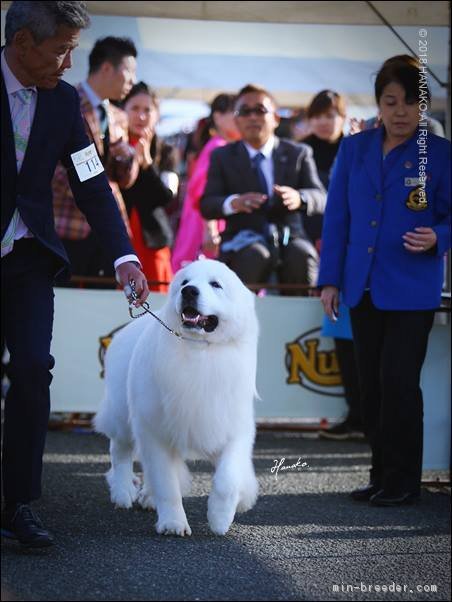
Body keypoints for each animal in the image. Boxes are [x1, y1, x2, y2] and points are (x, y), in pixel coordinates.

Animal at [93, 258, 260, 536]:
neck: (199, 351)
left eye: (216, 284)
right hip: (122, 415)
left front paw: (221, 518)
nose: (189, 291)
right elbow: (167, 484)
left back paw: (147, 497)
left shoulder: (232, 427)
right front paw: (173, 524)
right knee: (120, 452)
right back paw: (123, 492)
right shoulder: (154, 431)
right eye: (184, 282)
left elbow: (228, 479)